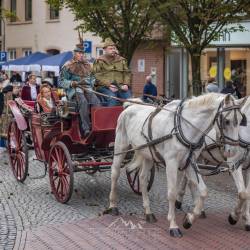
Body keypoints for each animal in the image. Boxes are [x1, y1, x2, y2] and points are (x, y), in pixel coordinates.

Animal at [104, 93, 245, 237]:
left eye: (241, 120)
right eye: (226, 121)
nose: (233, 151)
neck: (185, 127)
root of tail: (130, 106)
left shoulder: (190, 163)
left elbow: (203, 191)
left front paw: (189, 220)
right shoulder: (171, 162)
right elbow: (172, 193)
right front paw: (173, 225)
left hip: (148, 155)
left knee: (142, 179)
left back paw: (148, 212)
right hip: (120, 146)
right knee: (115, 173)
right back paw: (112, 206)